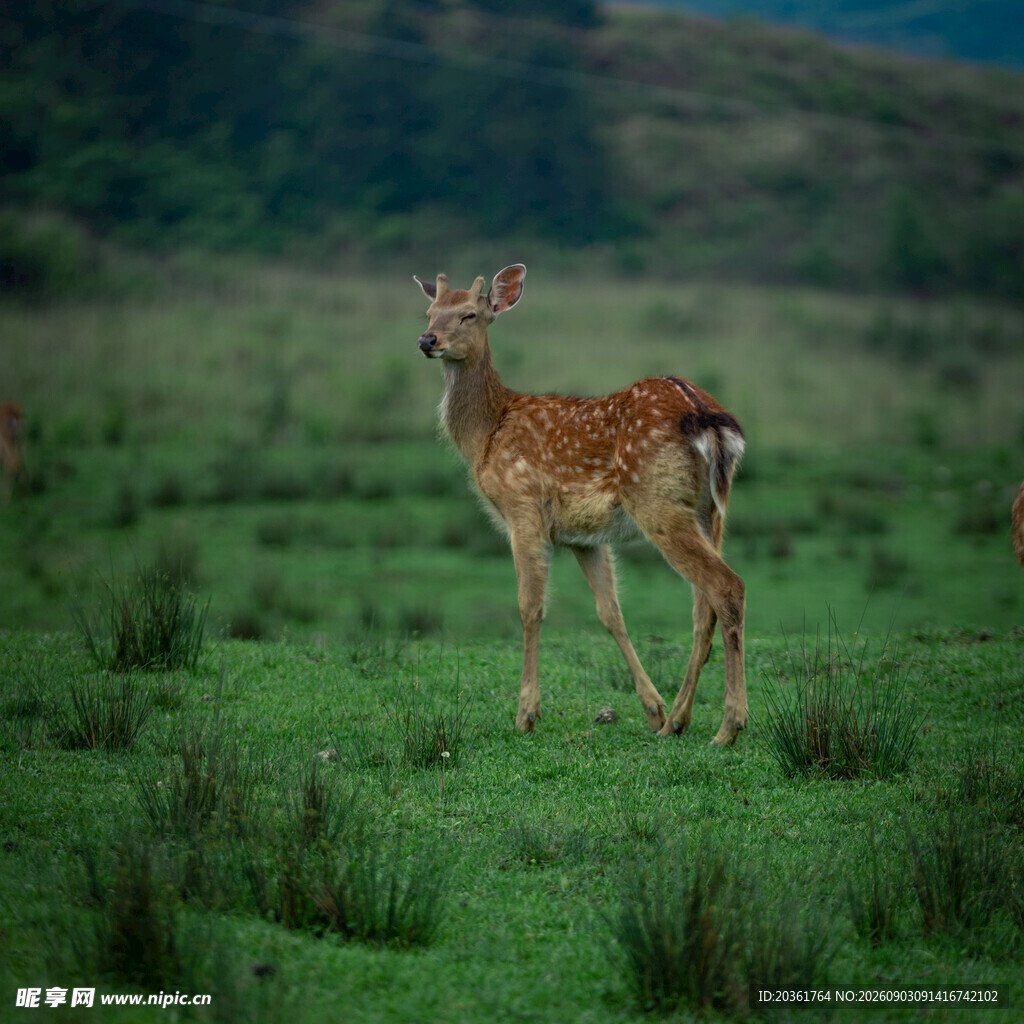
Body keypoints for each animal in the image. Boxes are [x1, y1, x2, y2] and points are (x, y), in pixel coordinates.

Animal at [414, 265, 747, 745]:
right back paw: (677, 720)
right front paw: (652, 709)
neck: (487, 434)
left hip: (658, 501)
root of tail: (706, 416)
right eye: (429, 312)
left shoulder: (522, 507)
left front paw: (526, 715)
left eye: (469, 314)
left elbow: (530, 607)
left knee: (726, 587)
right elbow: (611, 613)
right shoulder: (583, 537)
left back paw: (728, 727)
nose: (427, 340)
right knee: (704, 608)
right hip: (711, 510)